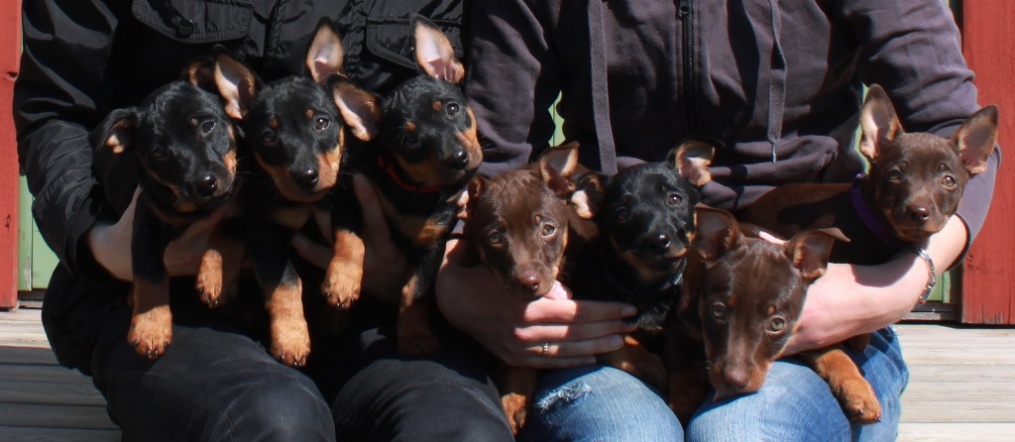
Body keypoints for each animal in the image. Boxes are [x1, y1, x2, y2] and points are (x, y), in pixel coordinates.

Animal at [91, 59, 239, 359]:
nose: (205, 184)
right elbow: (150, 273)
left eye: (207, 126)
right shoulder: (146, 218)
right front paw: (150, 328)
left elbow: (226, 229)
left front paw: (216, 277)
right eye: (159, 152)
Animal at [212, 21, 377, 367]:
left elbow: (351, 238)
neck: (308, 203)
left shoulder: (347, 196)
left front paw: (342, 282)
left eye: (322, 122)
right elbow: (286, 285)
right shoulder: (264, 232)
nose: (306, 177)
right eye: (268, 135)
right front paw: (291, 339)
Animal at [323, 15, 482, 356]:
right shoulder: (349, 198)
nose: (459, 158)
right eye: (409, 141)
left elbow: (414, 291)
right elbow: (350, 240)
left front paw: (414, 335)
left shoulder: (431, 244)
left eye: (451, 109)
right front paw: (341, 282)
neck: (412, 191)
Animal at [666, 206, 846, 423]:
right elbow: (683, 364)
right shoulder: (680, 325)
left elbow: (828, 348)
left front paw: (858, 389)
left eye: (777, 324)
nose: (734, 381)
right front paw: (684, 402)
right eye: (718, 311)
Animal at [735, 84, 998, 422]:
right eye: (895, 175)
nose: (918, 211)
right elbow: (833, 351)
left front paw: (859, 343)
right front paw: (857, 389)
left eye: (948, 181)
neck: (872, 227)